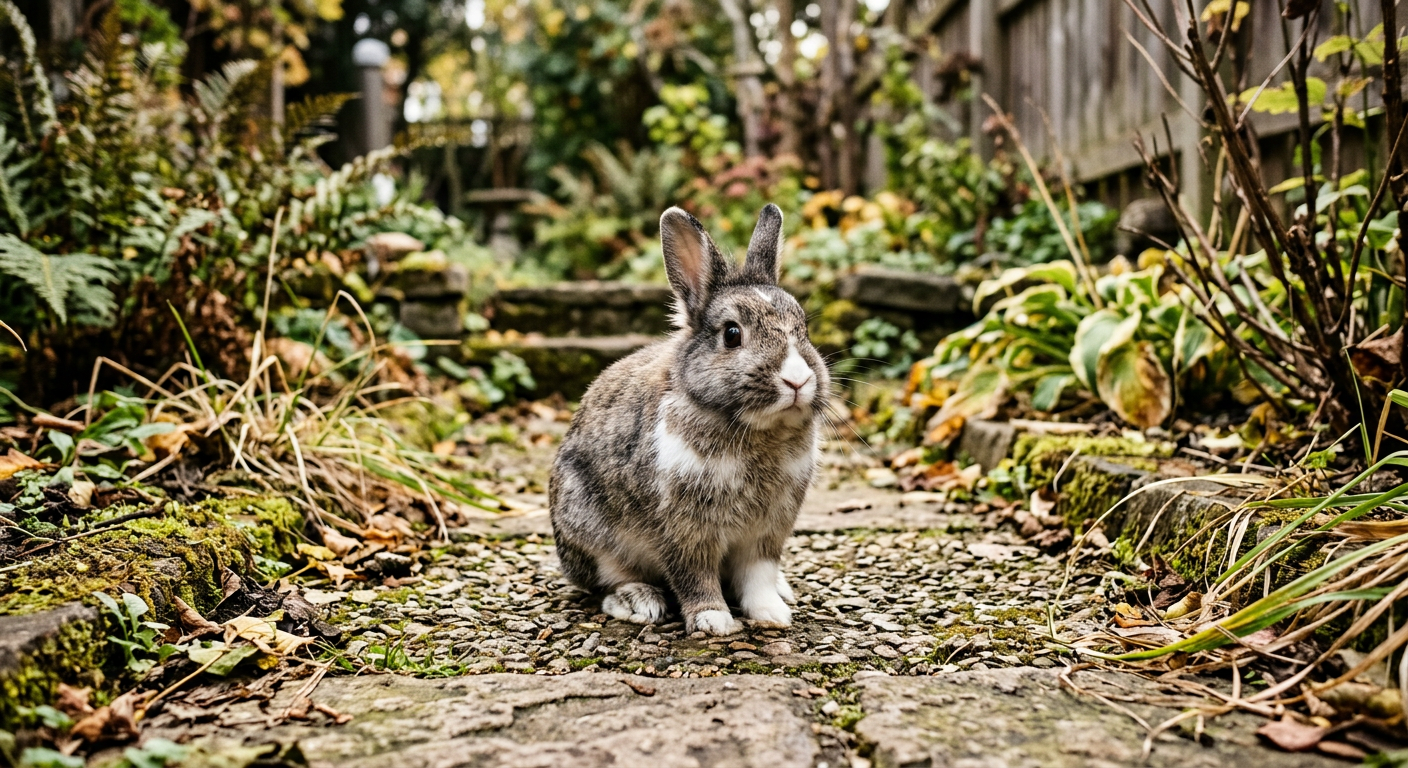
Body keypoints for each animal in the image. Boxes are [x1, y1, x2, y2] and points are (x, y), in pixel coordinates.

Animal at [549, 203, 829, 636]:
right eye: (732, 334)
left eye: (805, 330)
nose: (797, 380)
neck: (754, 430)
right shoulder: (682, 530)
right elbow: (693, 575)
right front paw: (713, 620)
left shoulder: (767, 533)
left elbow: (759, 574)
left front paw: (772, 614)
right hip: (588, 532)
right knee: (605, 582)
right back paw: (640, 601)